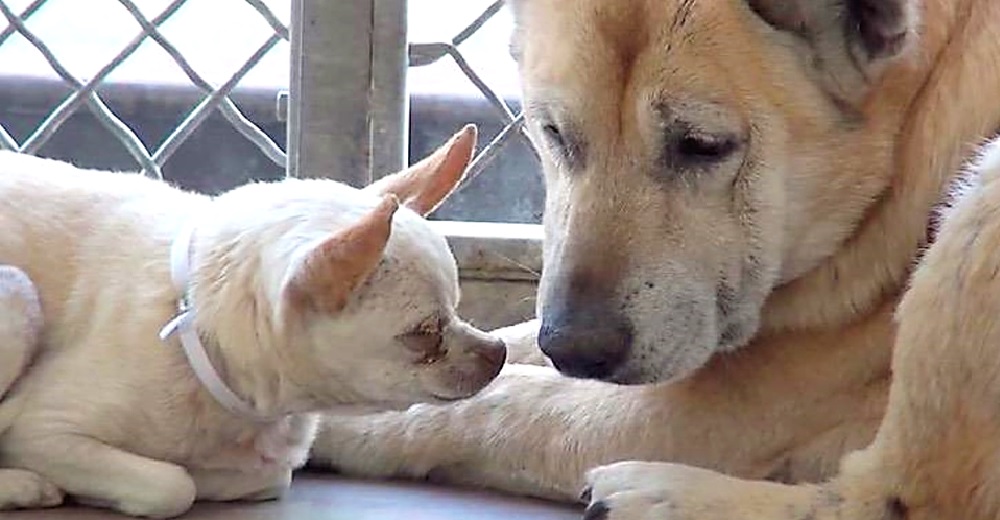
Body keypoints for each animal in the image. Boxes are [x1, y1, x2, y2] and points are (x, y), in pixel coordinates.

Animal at [0, 125, 504, 516]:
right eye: (422, 336)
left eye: (456, 308)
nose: (498, 352)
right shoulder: (42, 432)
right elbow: (174, 484)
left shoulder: (269, 464)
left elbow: (260, 475)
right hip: (17, 292)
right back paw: (23, 486)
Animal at [306, 0, 1000, 516]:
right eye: (554, 134)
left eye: (702, 146)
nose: (575, 349)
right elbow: (506, 346)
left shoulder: (714, 413)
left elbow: (505, 402)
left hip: (987, 195)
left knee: (899, 499)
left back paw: (659, 496)